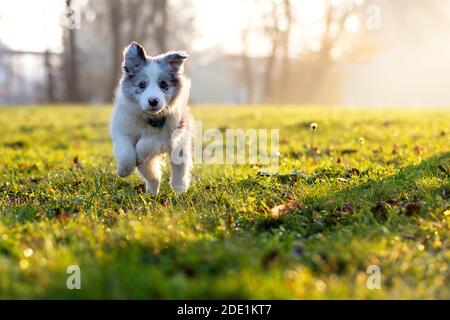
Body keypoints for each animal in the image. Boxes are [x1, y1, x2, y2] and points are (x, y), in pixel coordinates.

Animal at [110, 41, 193, 194]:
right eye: (142, 84)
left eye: (163, 85)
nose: (153, 101)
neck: (149, 118)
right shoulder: (122, 131)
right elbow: (126, 152)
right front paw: (124, 170)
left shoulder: (169, 136)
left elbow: (146, 142)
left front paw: (140, 152)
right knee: (152, 175)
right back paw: (152, 192)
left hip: (180, 146)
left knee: (180, 170)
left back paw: (179, 189)